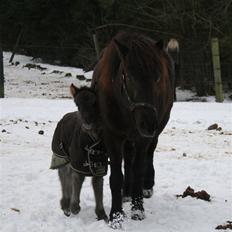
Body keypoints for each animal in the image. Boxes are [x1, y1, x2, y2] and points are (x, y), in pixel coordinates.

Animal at [91, 31, 173, 229]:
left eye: (158, 77)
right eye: (129, 77)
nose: (149, 123)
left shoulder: (142, 139)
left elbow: (138, 169)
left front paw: (137, 209)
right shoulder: (112, 136)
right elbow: (116, 176)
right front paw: (116, 215)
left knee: (147, 156)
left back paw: (146, 187)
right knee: (127, 159)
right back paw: (126, 192)